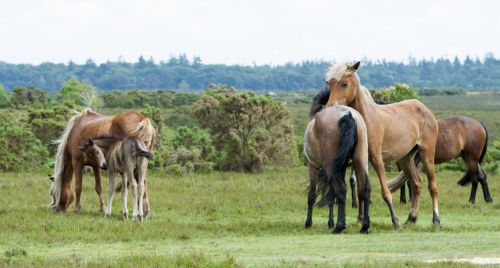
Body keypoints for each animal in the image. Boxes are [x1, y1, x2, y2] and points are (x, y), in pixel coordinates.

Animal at [324, 61, 438, 229]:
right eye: (329, 84)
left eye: (344, 83)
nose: (329, 108)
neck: (366, 120)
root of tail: (424, 109)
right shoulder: (358, 160)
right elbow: (360, 190)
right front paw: (361, 219)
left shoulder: (376, 158)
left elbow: (385, 192)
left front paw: (395, 222)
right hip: (406, 158)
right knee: (417, 183)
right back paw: (411, 218)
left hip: (427, 154)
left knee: (433, 187)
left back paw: (436, 220)